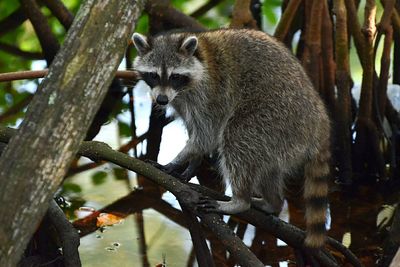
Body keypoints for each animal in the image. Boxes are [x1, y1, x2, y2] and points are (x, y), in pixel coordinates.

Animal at [133, 28, 330, 248]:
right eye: (153, 75)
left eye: (175, 76)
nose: (161, 100)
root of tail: (319, 120)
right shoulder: (180, 101)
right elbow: (196, 131)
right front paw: (193, 163)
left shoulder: (211, 93)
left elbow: (207, 135)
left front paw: (175, 161)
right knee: (268, 168)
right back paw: (273, 202)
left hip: (276, 115)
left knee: (237, 139)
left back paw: (240, 201)